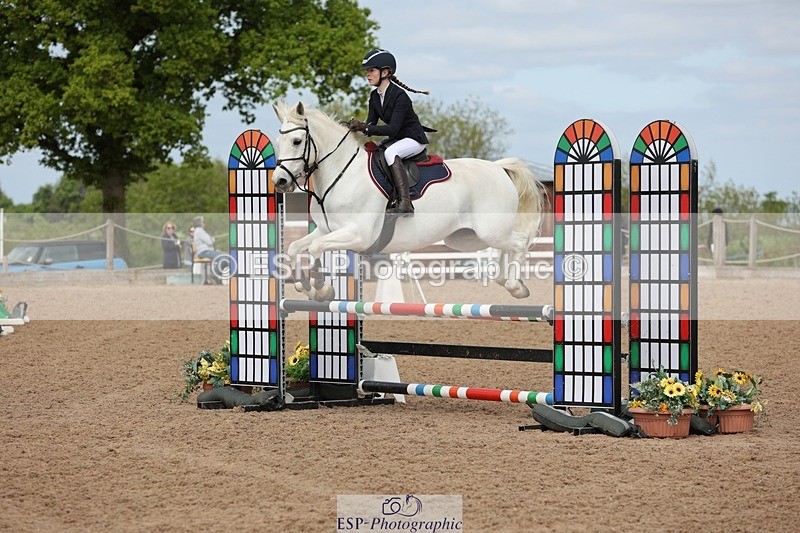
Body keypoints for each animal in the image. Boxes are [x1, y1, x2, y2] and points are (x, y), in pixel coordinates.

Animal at [272, 102, 546, 301]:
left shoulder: (359, 235)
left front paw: (321, 288)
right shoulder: (326, 229)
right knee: (505, 247)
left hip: (490, 230)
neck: (341, 174)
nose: (280, 181)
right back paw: (504, 279)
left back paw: (515, 286)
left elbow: (316, 248)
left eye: (296, 141)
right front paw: (307, 287)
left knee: (519, 242)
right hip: (466, 237)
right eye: (277, 142)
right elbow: (296, 248)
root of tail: (498, 168)